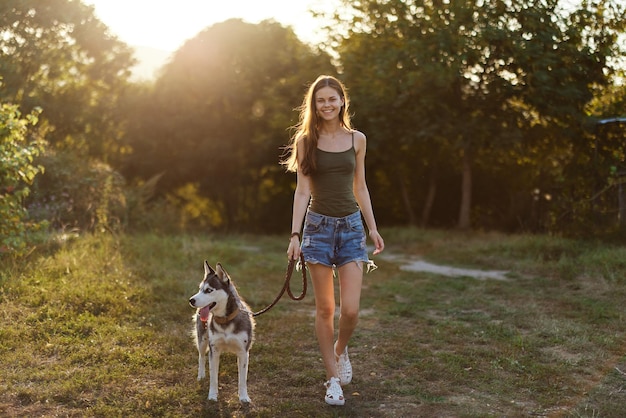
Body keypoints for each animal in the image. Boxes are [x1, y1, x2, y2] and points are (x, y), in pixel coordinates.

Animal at [188, 262, 254, 402]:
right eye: (200, 289)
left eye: (209, 290)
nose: (191, 300)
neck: (225, 321)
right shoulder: (214, 350)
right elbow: (213, 377)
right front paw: (212, 396)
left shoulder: (243, 352)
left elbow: (242, 379)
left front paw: (244, 397)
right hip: (202, 340)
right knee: (201, 356)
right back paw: (201, 375)